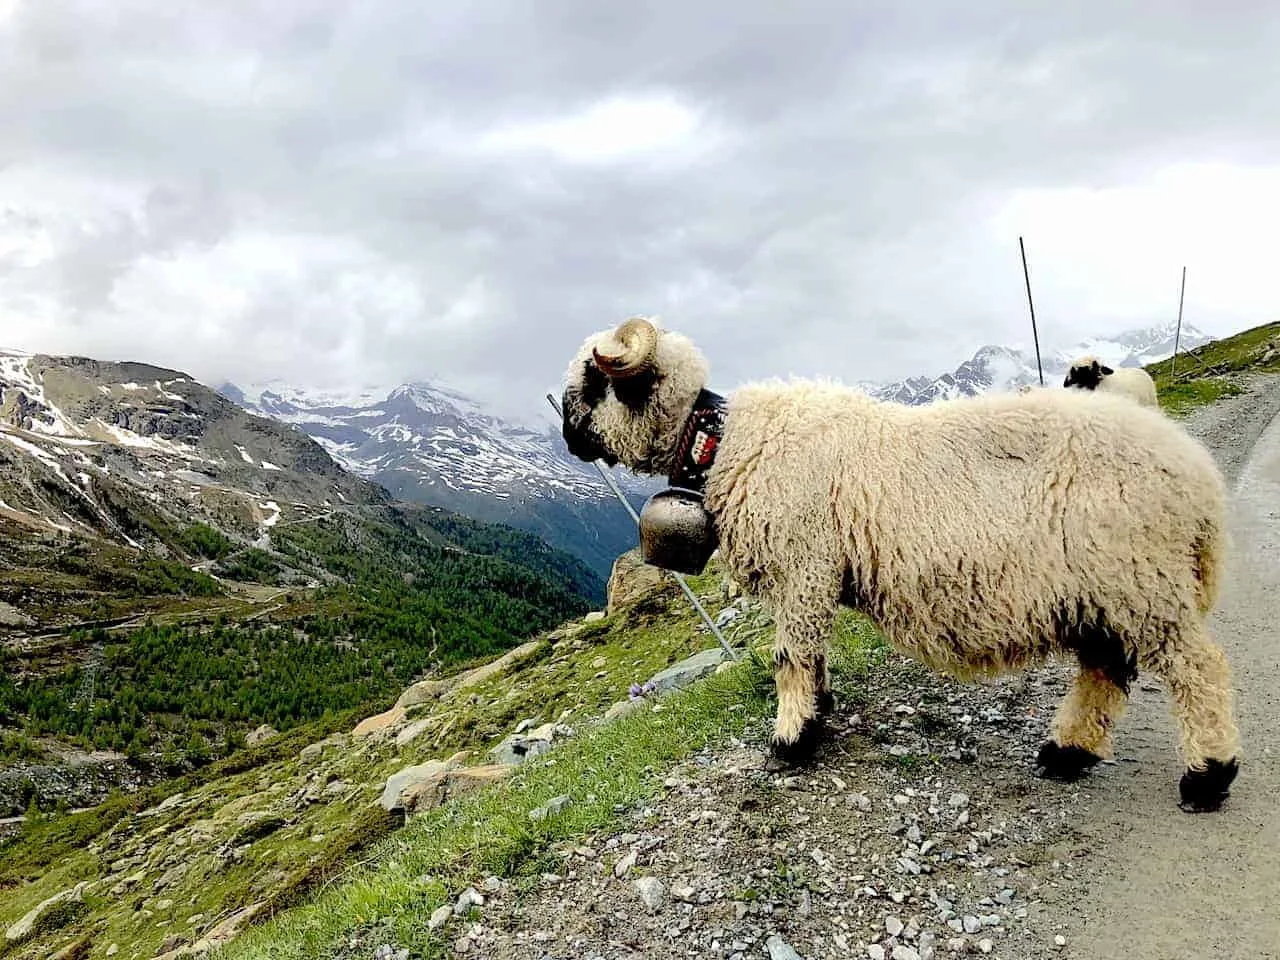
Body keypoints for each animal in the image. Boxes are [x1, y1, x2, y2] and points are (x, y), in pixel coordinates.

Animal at [558, 321, 1239, 814]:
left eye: (593, 386)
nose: (565, 436)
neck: (720, 442)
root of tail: (1199, 479)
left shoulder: (804, 564)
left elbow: (790, 656)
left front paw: (790, 741)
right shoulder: (812, 574)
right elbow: (810, 653)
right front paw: (818, 711)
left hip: (1140, 579)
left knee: (1198, 670)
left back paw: (1208, 776)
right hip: (1105, 588)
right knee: (1103, 671)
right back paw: (1067, 754)